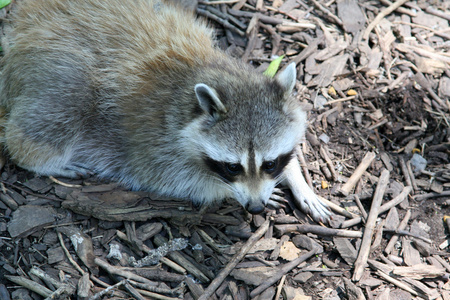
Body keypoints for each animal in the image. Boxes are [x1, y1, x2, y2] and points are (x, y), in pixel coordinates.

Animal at [0, 0, 330, 220]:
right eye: (233, 167)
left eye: (270, 163)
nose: (255, 207)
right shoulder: (155, 144)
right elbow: (186, 182)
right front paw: (230, 191)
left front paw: (296, 179)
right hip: (61, 77)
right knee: (50, 118)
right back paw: (40, 158)